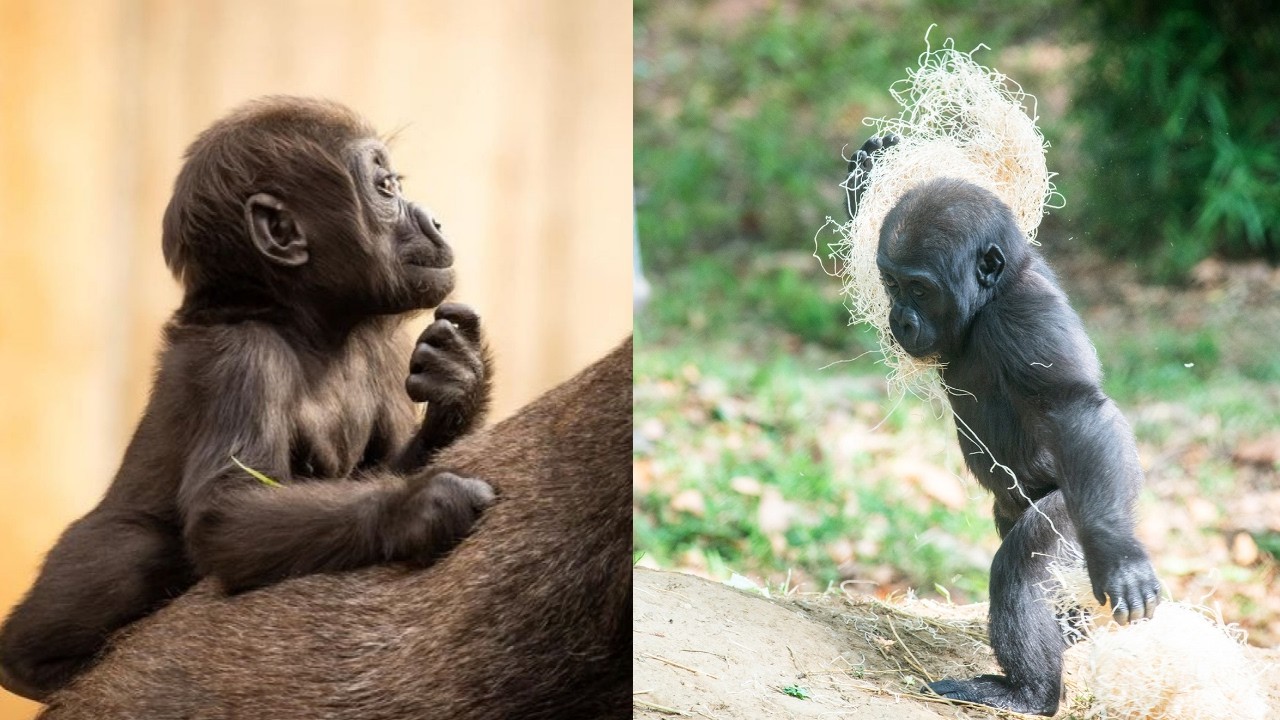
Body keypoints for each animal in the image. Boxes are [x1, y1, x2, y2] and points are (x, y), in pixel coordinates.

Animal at [0, 97, 496, 702]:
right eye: (385, 187)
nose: (435, 220)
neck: (305, 322)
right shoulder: (241, 360)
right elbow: (228, 508)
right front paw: (417, 505)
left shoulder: (381, 347)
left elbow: (391, 458)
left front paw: (459, 379)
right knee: (136, 552)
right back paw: (40, 664)